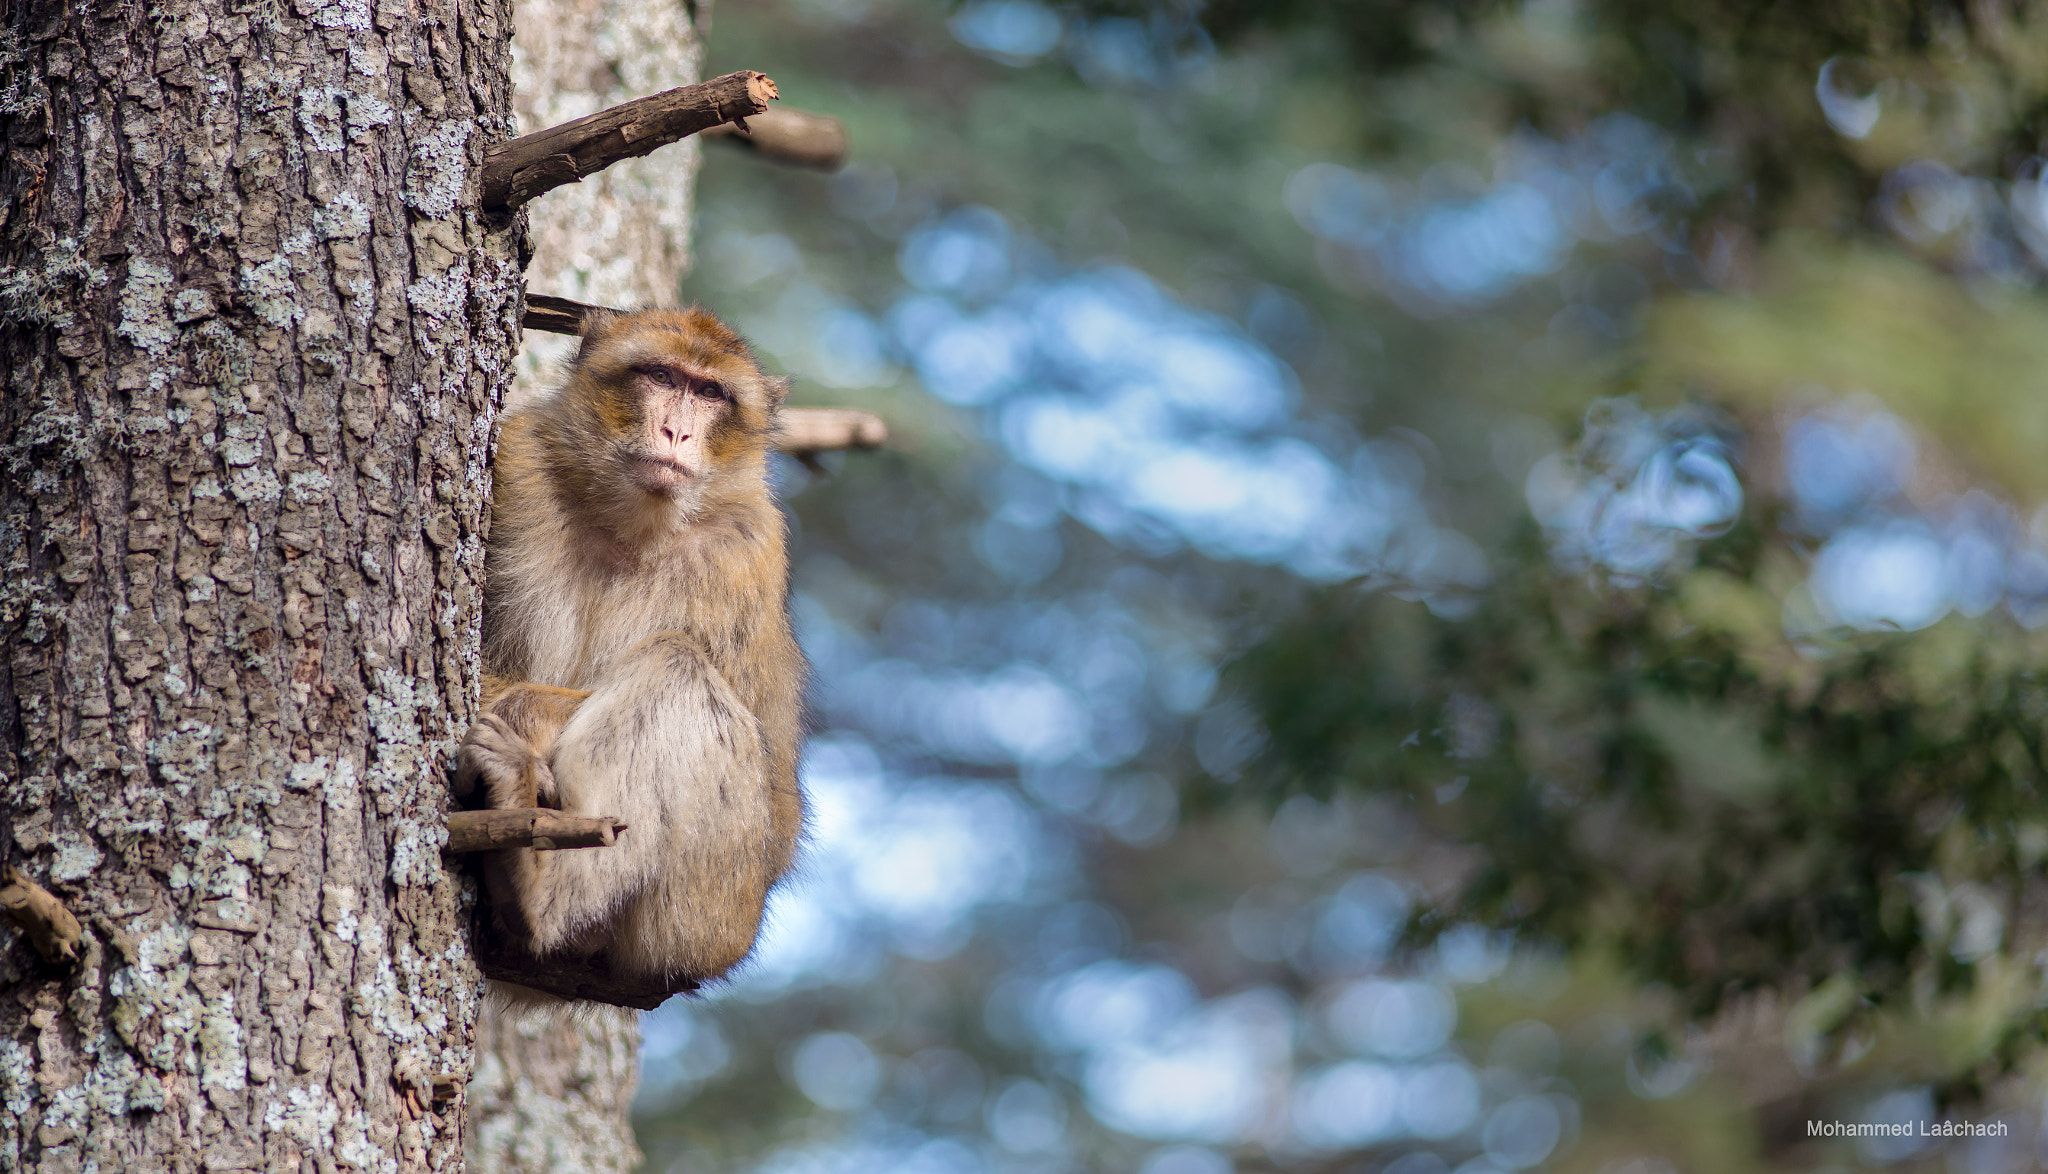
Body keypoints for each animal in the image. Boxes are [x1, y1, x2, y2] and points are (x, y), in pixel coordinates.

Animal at [456, 305, 806, 987]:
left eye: (710, 393)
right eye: (660, 376)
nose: (676, 432)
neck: (632, 523)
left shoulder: (745, 549)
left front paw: (521, 714)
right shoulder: (518, 463)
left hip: (708, 910)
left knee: (680, 669)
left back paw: (534, 891)